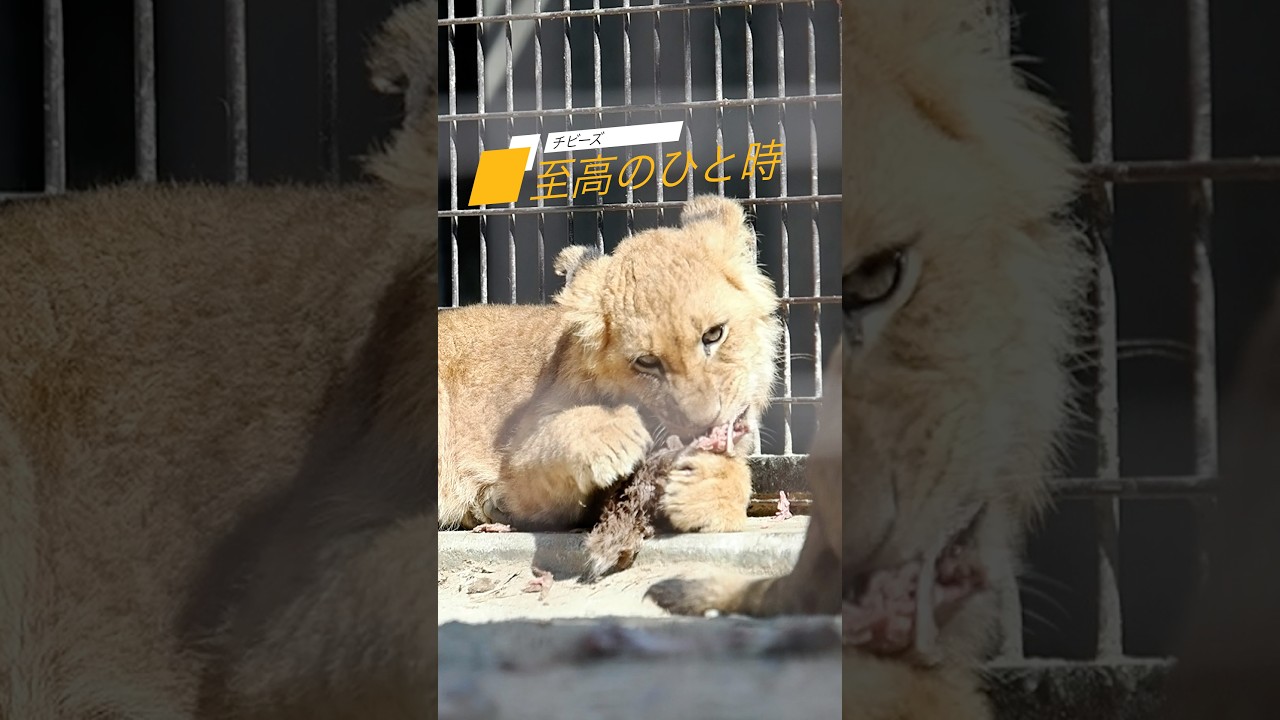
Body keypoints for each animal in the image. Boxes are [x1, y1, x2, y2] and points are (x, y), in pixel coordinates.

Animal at [437, 194, 784, 536]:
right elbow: (553, 436)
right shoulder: (516, 467)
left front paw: (708, 486)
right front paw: (616, 431)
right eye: (647, 361)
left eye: (714, 334)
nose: (704, 423)